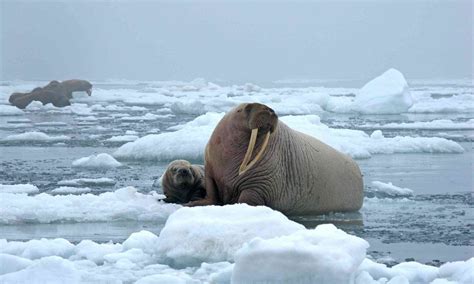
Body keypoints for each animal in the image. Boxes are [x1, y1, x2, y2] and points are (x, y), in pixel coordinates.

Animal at [187, 102, 364, 215]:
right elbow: (212, 192)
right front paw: (192, 203)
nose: (269, 110)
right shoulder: (210, 169)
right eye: (247, 108)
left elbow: (248, 198)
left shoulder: (260, 183)